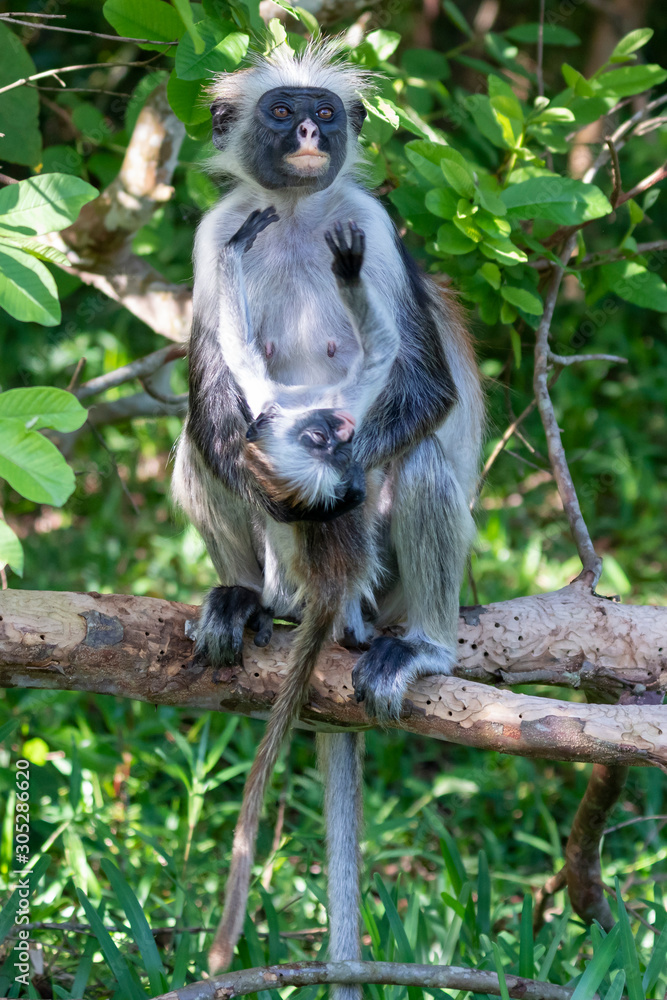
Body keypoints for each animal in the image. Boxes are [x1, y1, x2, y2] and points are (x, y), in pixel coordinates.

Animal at [171, 41, 483, 990]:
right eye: (282, 112)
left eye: (324, 113)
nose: (310, 133)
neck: (297, 215)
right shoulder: (214, 231)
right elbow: (214, 398)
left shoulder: (372, 226)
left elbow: (425, 388)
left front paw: (330, 479)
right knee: (201, 436)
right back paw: (249, 595)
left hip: (388, 589)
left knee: (418, 462)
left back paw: (418, 643)